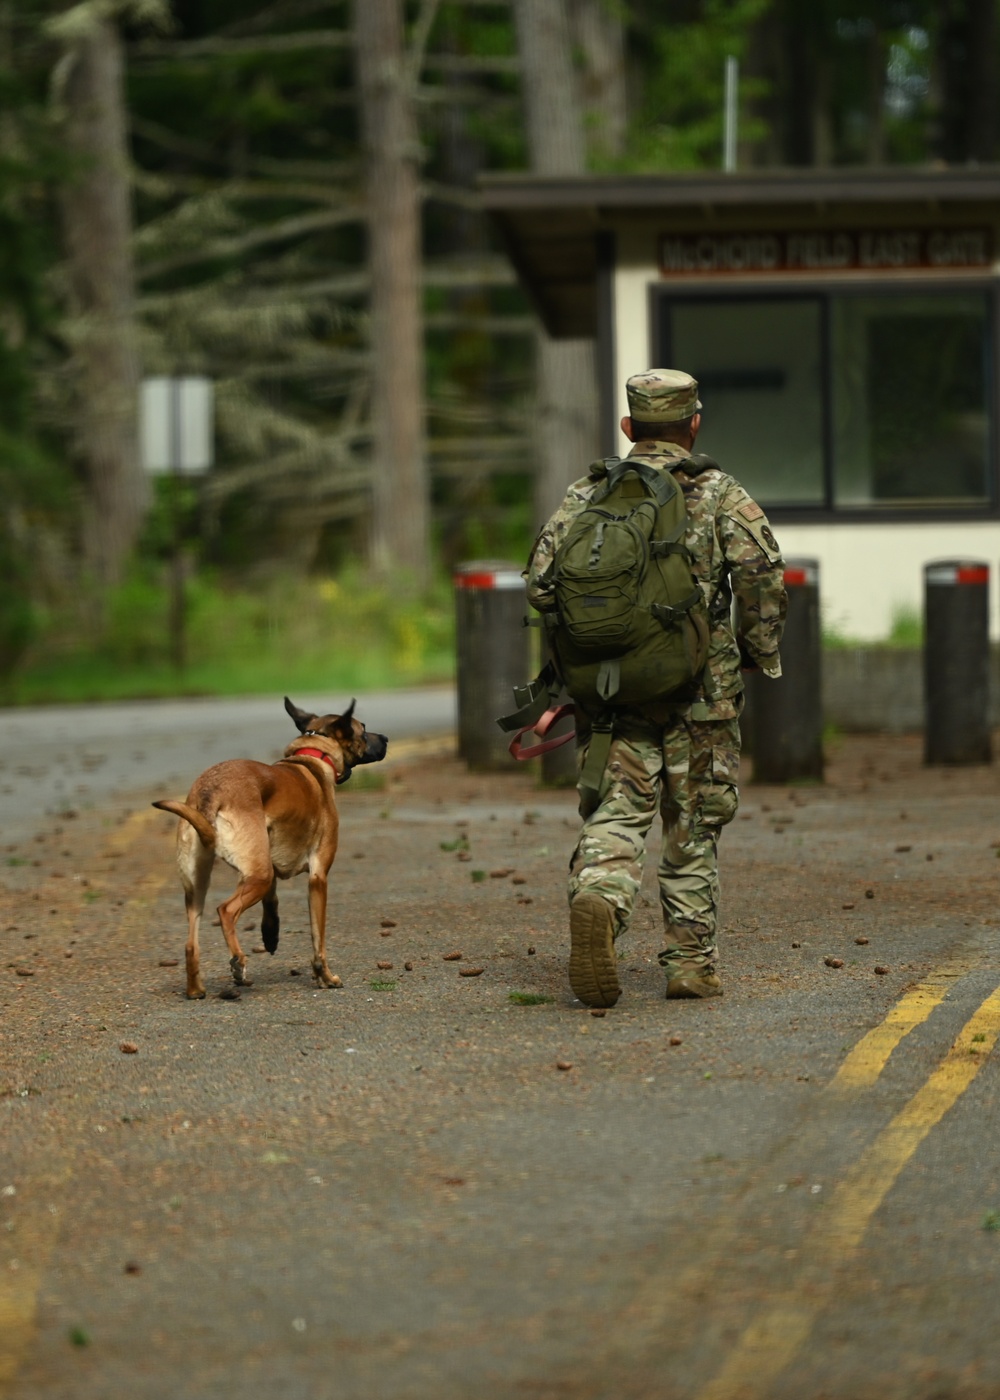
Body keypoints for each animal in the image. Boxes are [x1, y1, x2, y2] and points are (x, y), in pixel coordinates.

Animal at [151, 697, 386, 996]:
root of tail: (210, 790)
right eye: (363, 730)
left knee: (191, 942)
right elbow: (317, 937)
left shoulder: (269, 859)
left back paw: (195, 988)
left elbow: (272, 901)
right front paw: (325, 976)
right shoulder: (318, 877)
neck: (313, 757)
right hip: (256, 877)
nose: (386, 739)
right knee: (226, 911)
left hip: (199, 885)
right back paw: (238, 964)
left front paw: (270, 934)